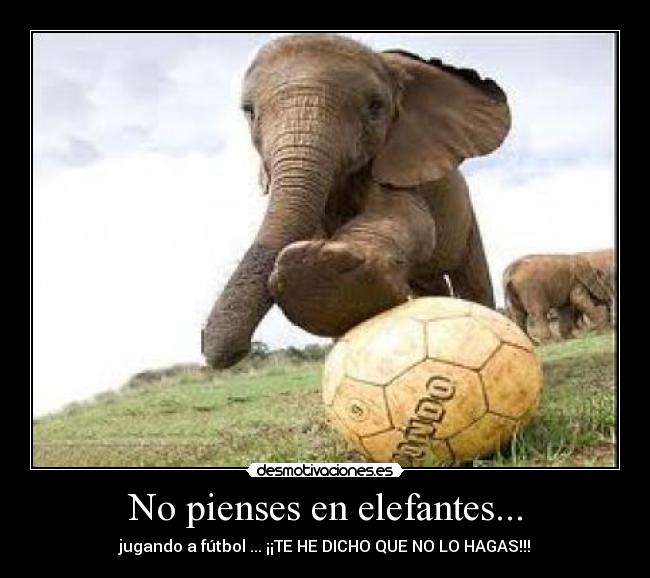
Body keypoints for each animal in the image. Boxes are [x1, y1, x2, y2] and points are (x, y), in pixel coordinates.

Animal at [202, 33, 511, 369]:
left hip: (466, 214)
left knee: (472, 276)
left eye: (375, 108)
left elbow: (408, 217)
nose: (220, 352)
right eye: (249, 112)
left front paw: (319, 270)